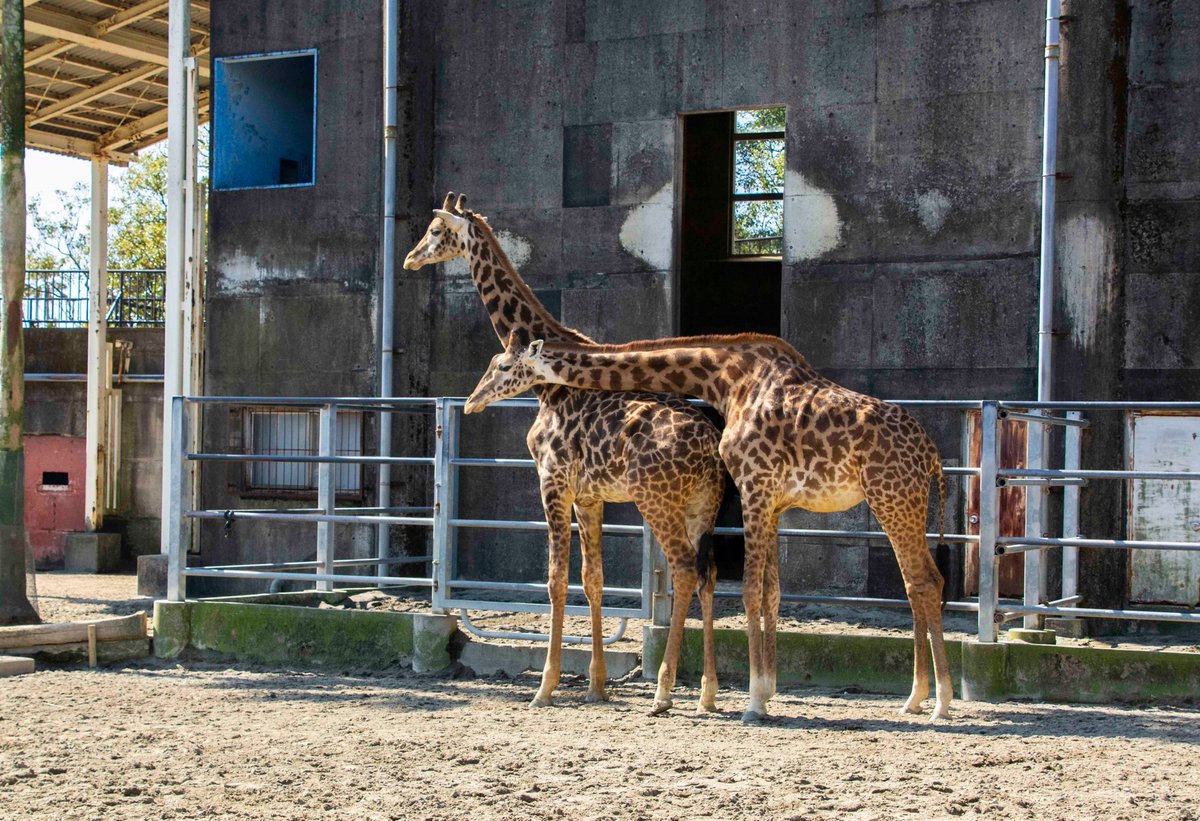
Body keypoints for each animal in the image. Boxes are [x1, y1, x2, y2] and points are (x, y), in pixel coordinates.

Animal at [403, 195, 720, 715]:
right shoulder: (589, 496)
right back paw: (708, 694)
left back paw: (664, 690)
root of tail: (713, 451)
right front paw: (596, 685)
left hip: (658, 502)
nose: (410, 258)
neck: (547, 387)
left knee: (683, 570)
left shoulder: (552, 481)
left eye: (433, 230)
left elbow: (554, 580)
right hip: (702, 507)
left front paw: (545, 687)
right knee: (709, 573)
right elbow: (592, 579)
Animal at [463, 331, 950, 720]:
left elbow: (750, 591)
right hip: (901, 501)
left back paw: (936, 701)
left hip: (892, 497)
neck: (727, 380)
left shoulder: (755, 486)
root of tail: (932, 453)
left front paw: (753, 702)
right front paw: (764, 691)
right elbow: (771, 592)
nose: (471, 401)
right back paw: (918, 699)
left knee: (921, 581)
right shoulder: (771, 503)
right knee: (924, 581)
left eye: (503, 365)